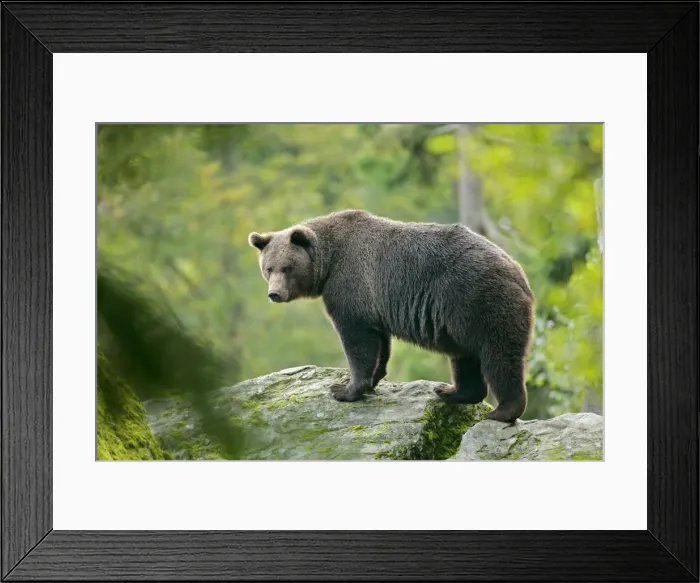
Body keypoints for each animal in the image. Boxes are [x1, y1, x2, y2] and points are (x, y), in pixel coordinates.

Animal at [248, 209, 535, 423]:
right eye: (268, 268)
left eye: (287, 267)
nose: (275, 293)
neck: (328, 262)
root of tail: (519, 271)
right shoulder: (376, 304)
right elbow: (379, 344)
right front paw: (371, 380)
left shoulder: (351, 283)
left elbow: (356, 339)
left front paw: (343, 389)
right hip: (461, 318)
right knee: (464, 356)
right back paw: (449, 391)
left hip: (477, 300)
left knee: (498, 354)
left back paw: (502, 411)